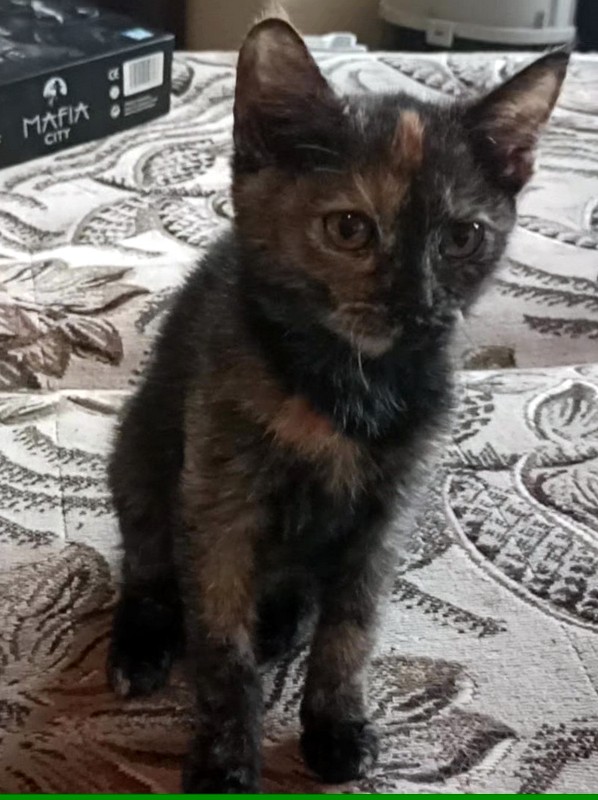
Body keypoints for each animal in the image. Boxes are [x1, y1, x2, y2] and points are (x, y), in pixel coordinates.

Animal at [106, 14, 568, 794]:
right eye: (350, 228)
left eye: (462, 237)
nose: (418, 306)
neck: (352, 387)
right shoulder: (219, 501)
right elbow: (219, 642)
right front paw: (225, 758)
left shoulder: (388, 515)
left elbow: (351, 630)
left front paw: (335, 724)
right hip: (138, 450)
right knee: (147, 562)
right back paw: (144, 639)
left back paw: (282, 621)